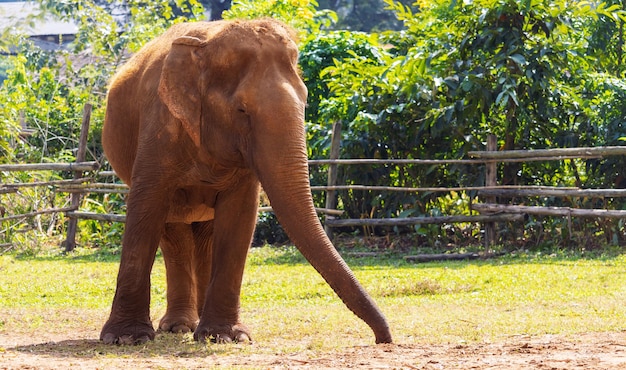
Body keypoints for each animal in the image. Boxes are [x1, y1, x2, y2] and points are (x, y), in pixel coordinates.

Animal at [98, 18, 390, 346]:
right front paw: (126, 339)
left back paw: (194, 328)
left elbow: (239, 215)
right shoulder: (159, 125)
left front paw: (226, 337)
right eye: (241, 110)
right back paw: (178, 328)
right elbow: (145, 208)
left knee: (202, 236)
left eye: (304, 101)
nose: (382, 339)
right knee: (174, 233)